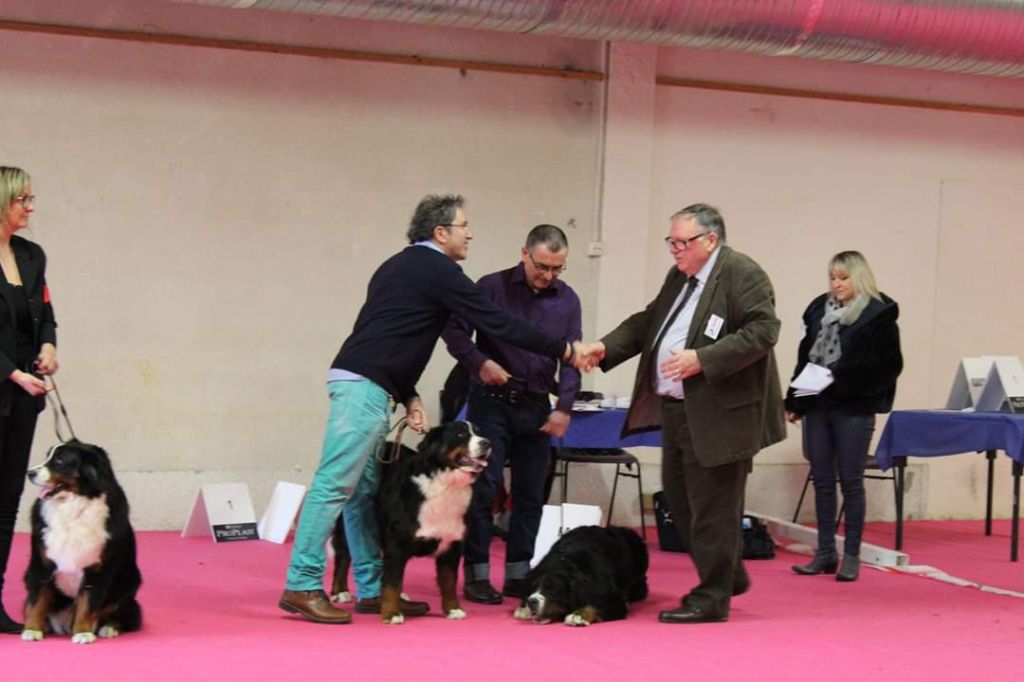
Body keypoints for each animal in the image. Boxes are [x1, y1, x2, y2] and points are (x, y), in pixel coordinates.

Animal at [21, 439, 142, 644]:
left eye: (59, 461)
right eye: (47, 457)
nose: (30, 473)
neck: (72, 507)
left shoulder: (99, 567)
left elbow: (88, 603)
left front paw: (83, 632)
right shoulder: (41, 563)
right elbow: (38, 600)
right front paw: (32, 629)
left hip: (128, 583)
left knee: (126, 614)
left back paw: (108, 628)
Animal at [329, 420, 490, 624]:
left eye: (478, 432)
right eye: (460, 434)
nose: (487, 443)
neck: (445, 485)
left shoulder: (452, 544)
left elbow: (448, 581)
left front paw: (453, 609)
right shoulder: (397, 543)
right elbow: (392, 583)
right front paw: (391, 613)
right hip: (348, 523)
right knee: (343, 556)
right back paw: (339, 591)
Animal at [514, 525, 648, 626]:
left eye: (553, 588)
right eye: (532, 587)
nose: (532, 601)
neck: (565, 561)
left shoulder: (613, 599)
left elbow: (597, 605)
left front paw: (578, 615)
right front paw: (523, 608)